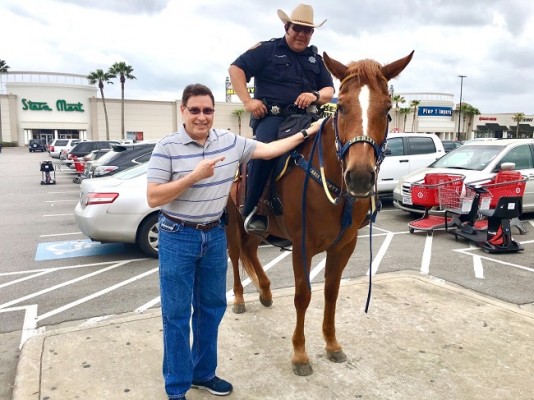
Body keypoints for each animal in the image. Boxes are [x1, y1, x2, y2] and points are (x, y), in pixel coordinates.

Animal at [226, 50, 414, 376]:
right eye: (342, 107)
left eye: (388, 108)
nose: (360, 177)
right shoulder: (303, 245)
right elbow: (303, 296)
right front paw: (300, 354)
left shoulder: (343, 246)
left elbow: (330, 293)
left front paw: (332, 344)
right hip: (232, 222)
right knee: (236, 255)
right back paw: (239, 297)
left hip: (262, 228)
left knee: (250, 250)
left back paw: (265, 291)